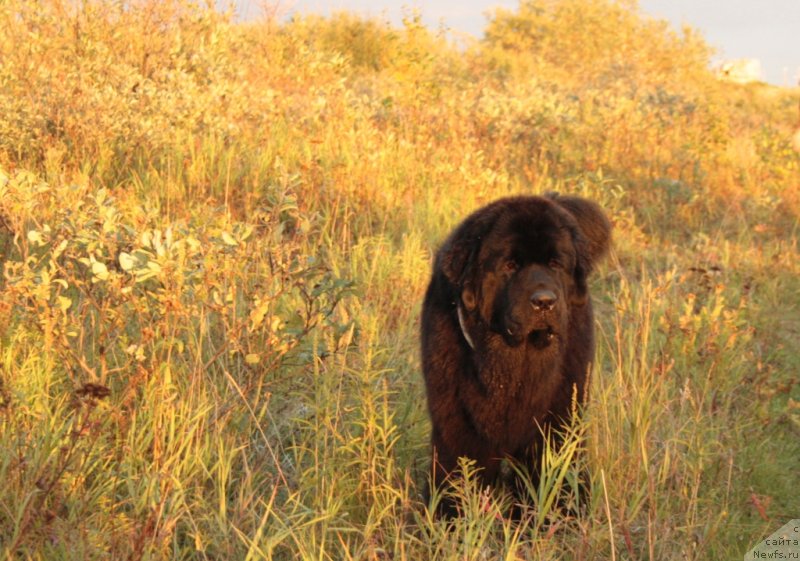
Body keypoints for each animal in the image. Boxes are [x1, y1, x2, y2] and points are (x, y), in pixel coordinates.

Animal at [422, 194, 608, 516]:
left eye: (555, 264)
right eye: (510, 265)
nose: (545, 301)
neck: (513, 360)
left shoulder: (556, 416)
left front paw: (558, 513)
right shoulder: (457, 421)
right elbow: (459, 466)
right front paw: (452, 516)